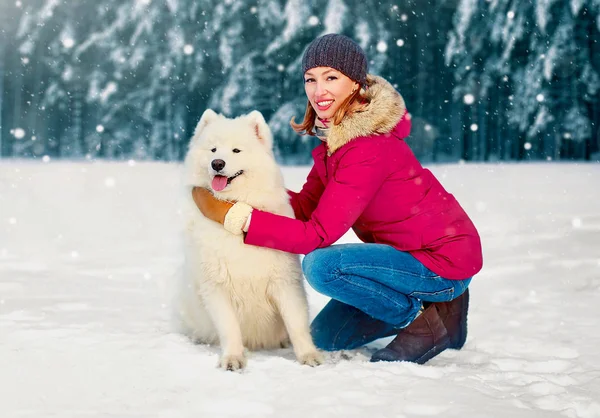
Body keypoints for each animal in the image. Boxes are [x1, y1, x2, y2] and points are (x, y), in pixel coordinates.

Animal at [175, 109, 324, 370]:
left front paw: (309, 355)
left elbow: (297, 324)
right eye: (213, 149)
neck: (234, 203)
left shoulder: (285, 282)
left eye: (236, 150)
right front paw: (233, 359)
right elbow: (229, 328)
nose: (217, 163)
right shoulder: (216, 286)